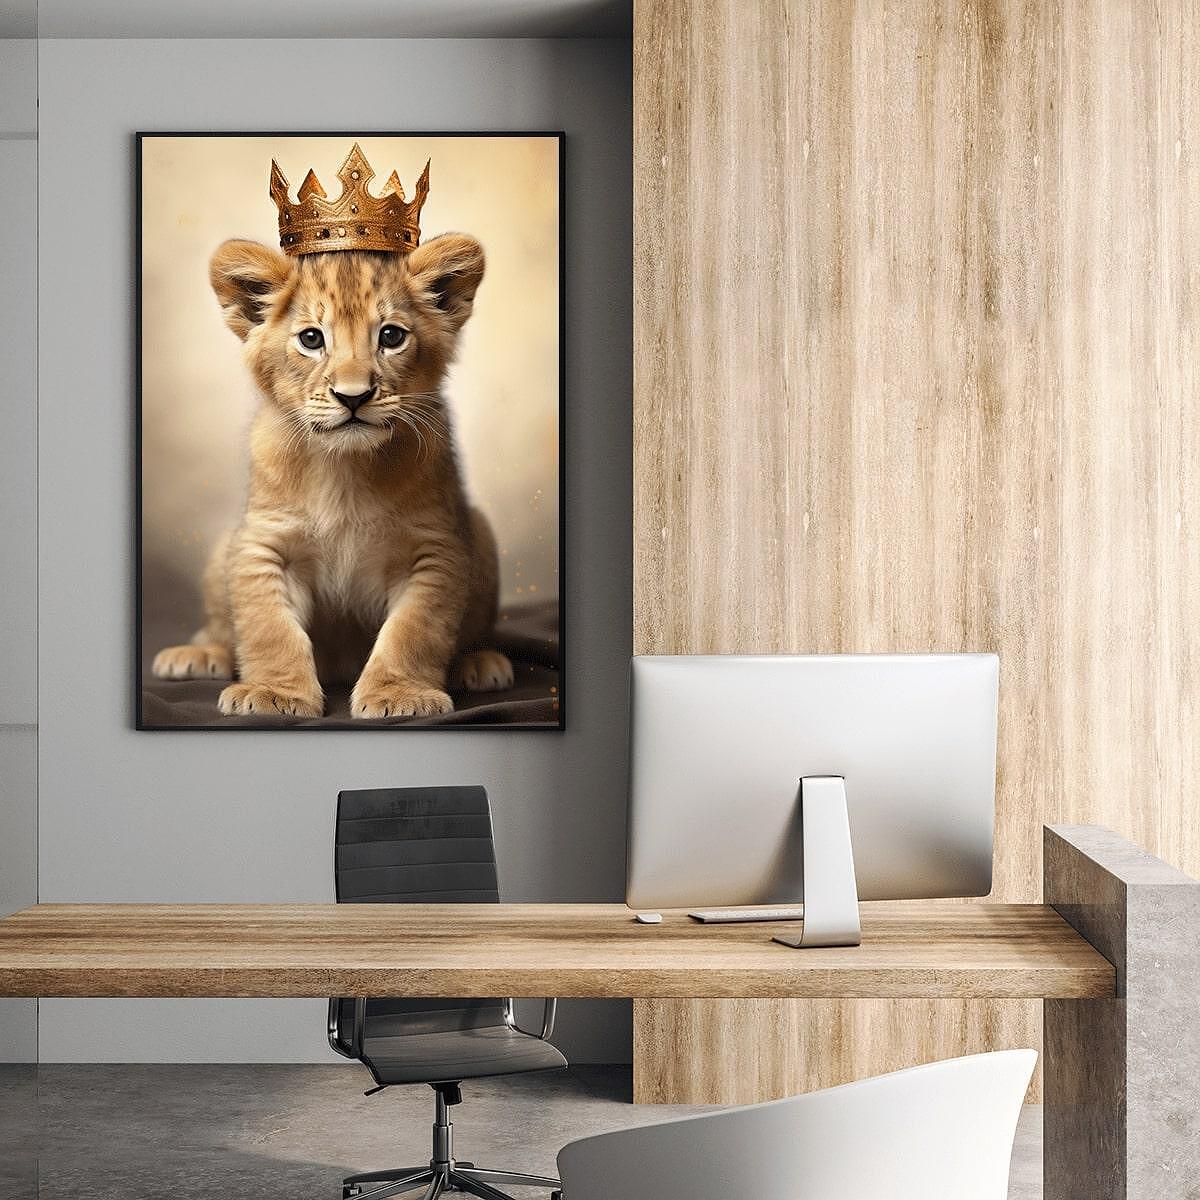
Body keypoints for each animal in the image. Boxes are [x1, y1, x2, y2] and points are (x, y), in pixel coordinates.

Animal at [151, 235, 513, 719]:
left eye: (391, 336)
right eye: (311, 339)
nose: (352, 396)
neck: (345, 468)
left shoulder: (435, 548)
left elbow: (413, 631)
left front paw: (399, 694)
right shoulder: (264, 544)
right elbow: (269, 629)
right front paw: (275, 693)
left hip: (481, 530)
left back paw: (480, 663)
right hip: (223, 548)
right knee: (222, 628)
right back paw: (198, 654)